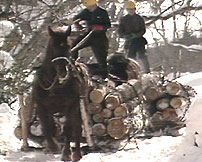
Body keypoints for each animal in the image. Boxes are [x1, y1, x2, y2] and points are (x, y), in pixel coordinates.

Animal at [31, 26, 82, 161]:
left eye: (69, 45)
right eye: (54, 45)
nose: (63, 72)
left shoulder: (70, 107)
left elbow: (69, 130)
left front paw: (66, 153)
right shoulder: (41, 107)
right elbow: (47, 127)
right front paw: (53, 146)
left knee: (77, 129)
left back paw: (76, 154)